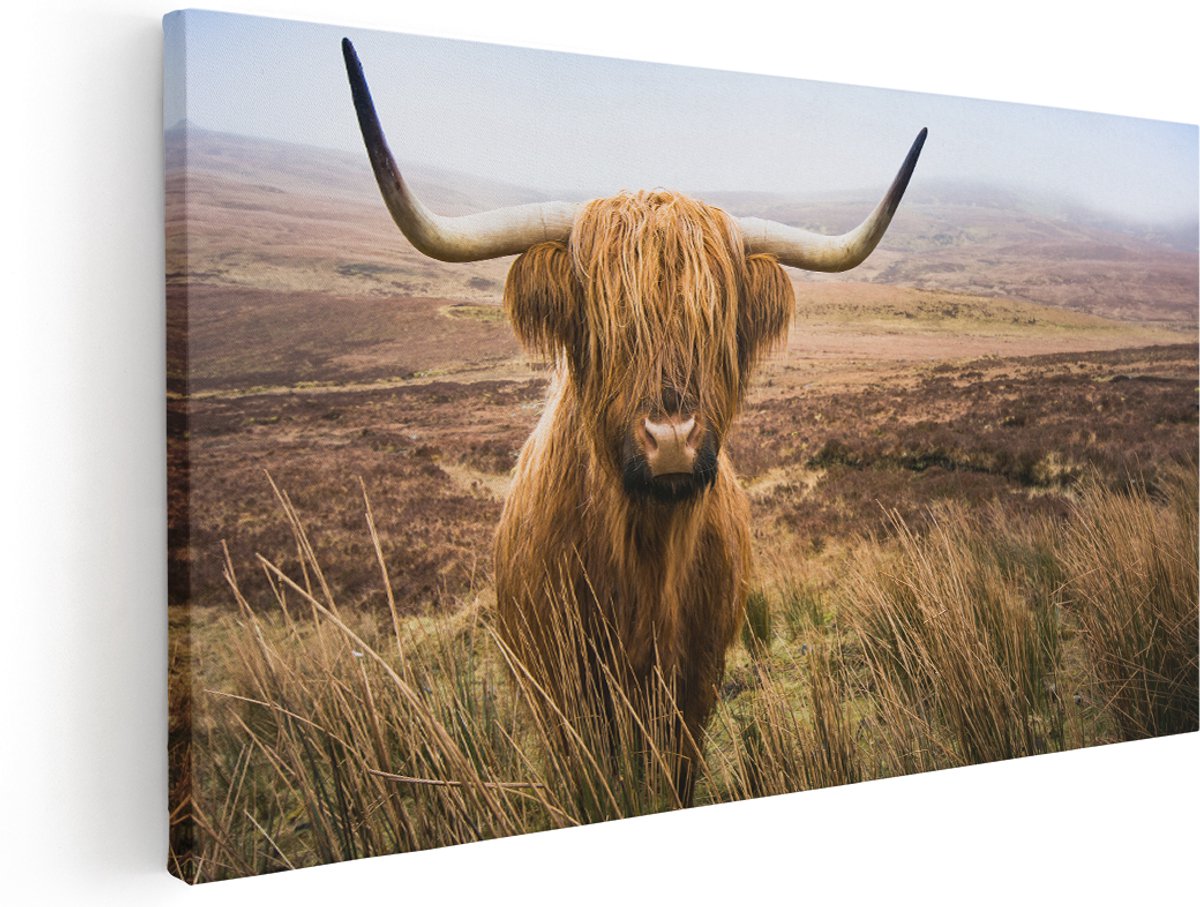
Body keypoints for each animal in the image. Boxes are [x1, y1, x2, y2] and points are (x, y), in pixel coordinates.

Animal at [342, 39, 925, 806]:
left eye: (716, 322)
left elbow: (676, 771)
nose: (672, 439)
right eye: (606, 323)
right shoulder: (562, 690)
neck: (644, 560)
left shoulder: (698, 681)